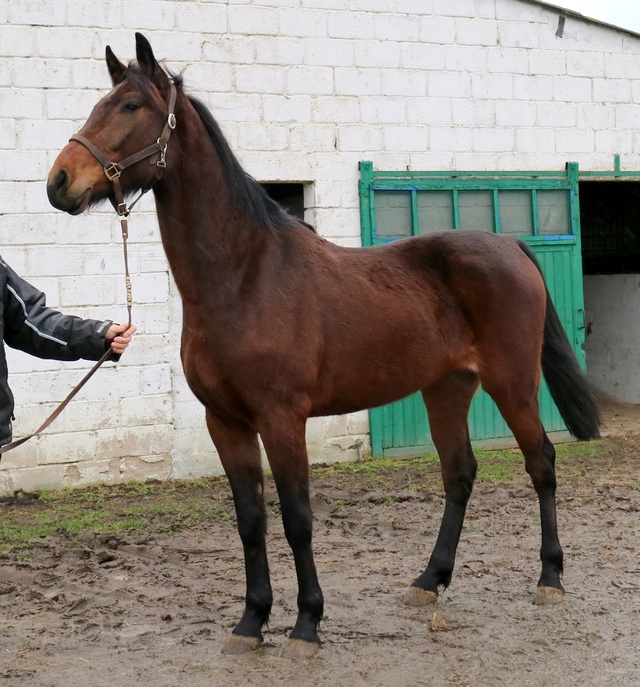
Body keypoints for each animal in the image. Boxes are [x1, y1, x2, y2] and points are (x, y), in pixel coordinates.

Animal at [47, 33, 604, 660]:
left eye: (130, 106)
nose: (59, 181)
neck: (244, 276)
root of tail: (511, 245)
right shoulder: (225, 422)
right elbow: (251, 522)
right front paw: (250, 622)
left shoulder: (282, 418)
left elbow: (297, 519)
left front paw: (306, 624)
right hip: (446, 388)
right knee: (459, 474)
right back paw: (428, 581)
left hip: (512, 383)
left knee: (542, 464)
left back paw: (550, 578)